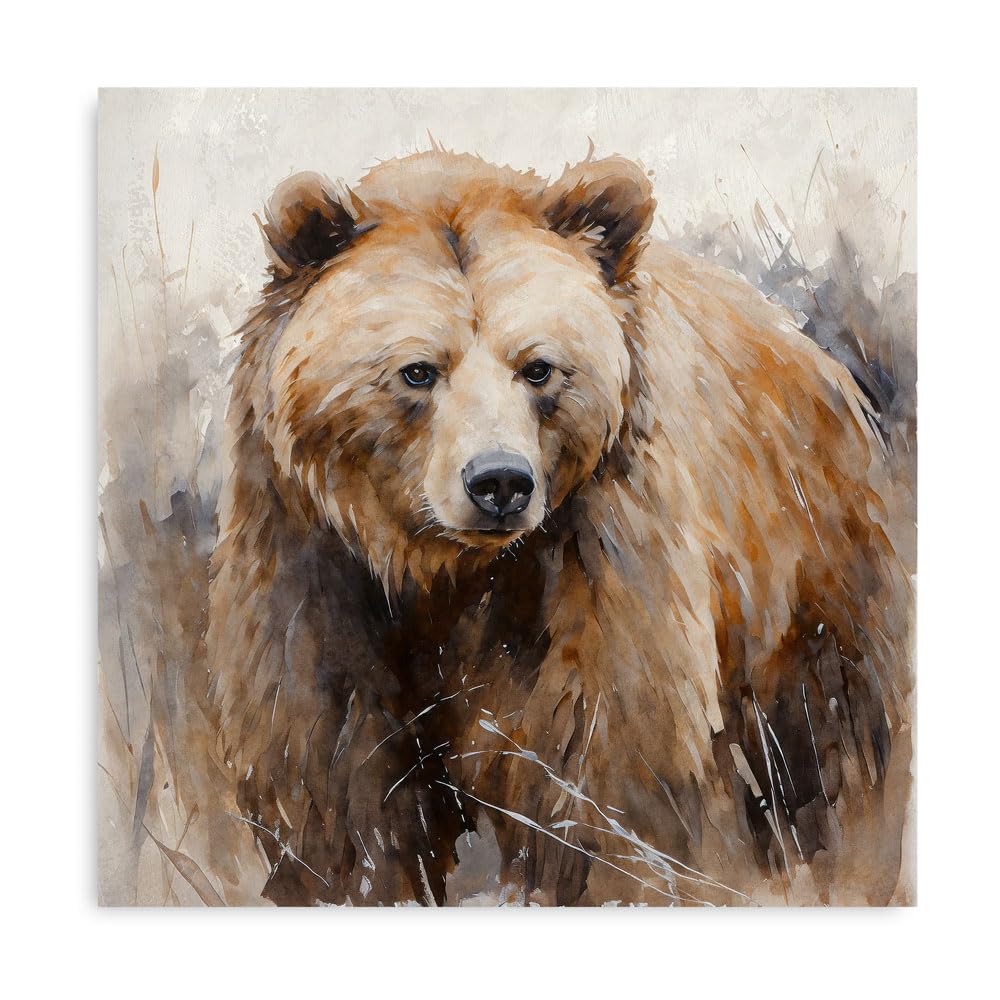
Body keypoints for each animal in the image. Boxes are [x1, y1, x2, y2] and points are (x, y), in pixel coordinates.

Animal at [203, 149, 913, 906]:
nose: (499, 483)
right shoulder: (309, 565)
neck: (443, 572)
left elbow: (604, 769)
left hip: (808, 581)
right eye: (417, 371)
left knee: (826, 749)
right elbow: (334, 783)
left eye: (539, 367)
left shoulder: (594, 559)